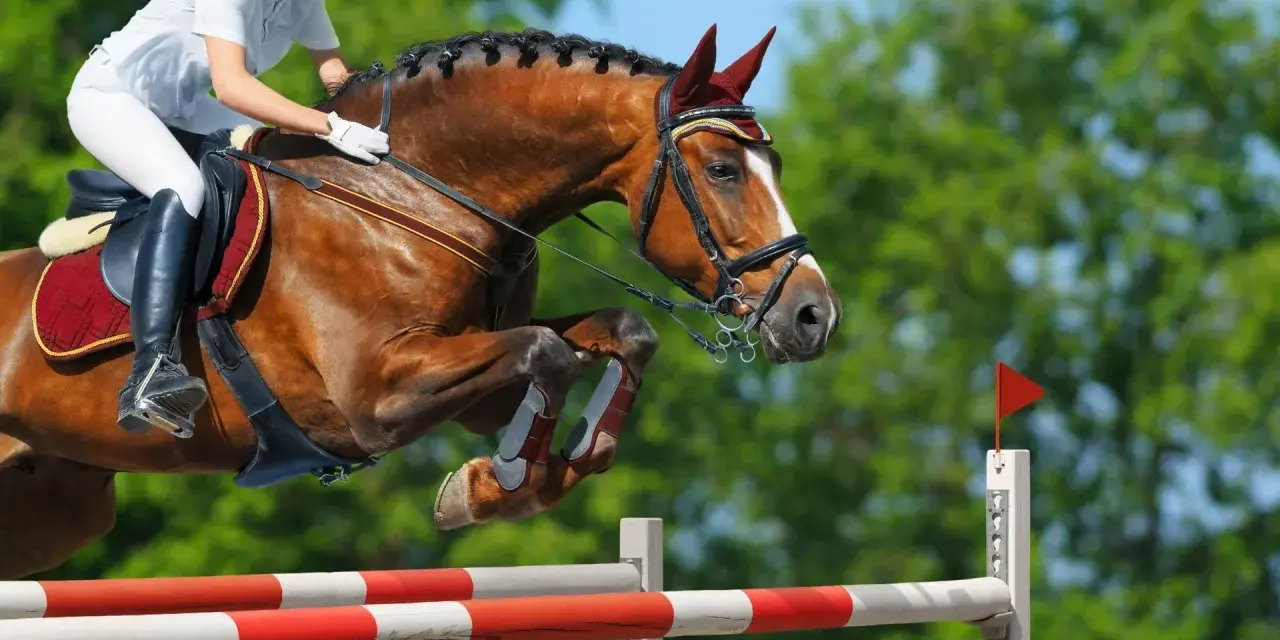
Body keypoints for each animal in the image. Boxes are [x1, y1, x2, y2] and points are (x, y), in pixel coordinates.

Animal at [0, 25, 840, 579]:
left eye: (773, 165)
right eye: (724, 169)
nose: (815, 317)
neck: (412, 195)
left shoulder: (468, 377)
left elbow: (615, 335)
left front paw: (514, 477)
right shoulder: (374, 398)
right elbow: (549, 353)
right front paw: (496, 485)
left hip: (54, 507)